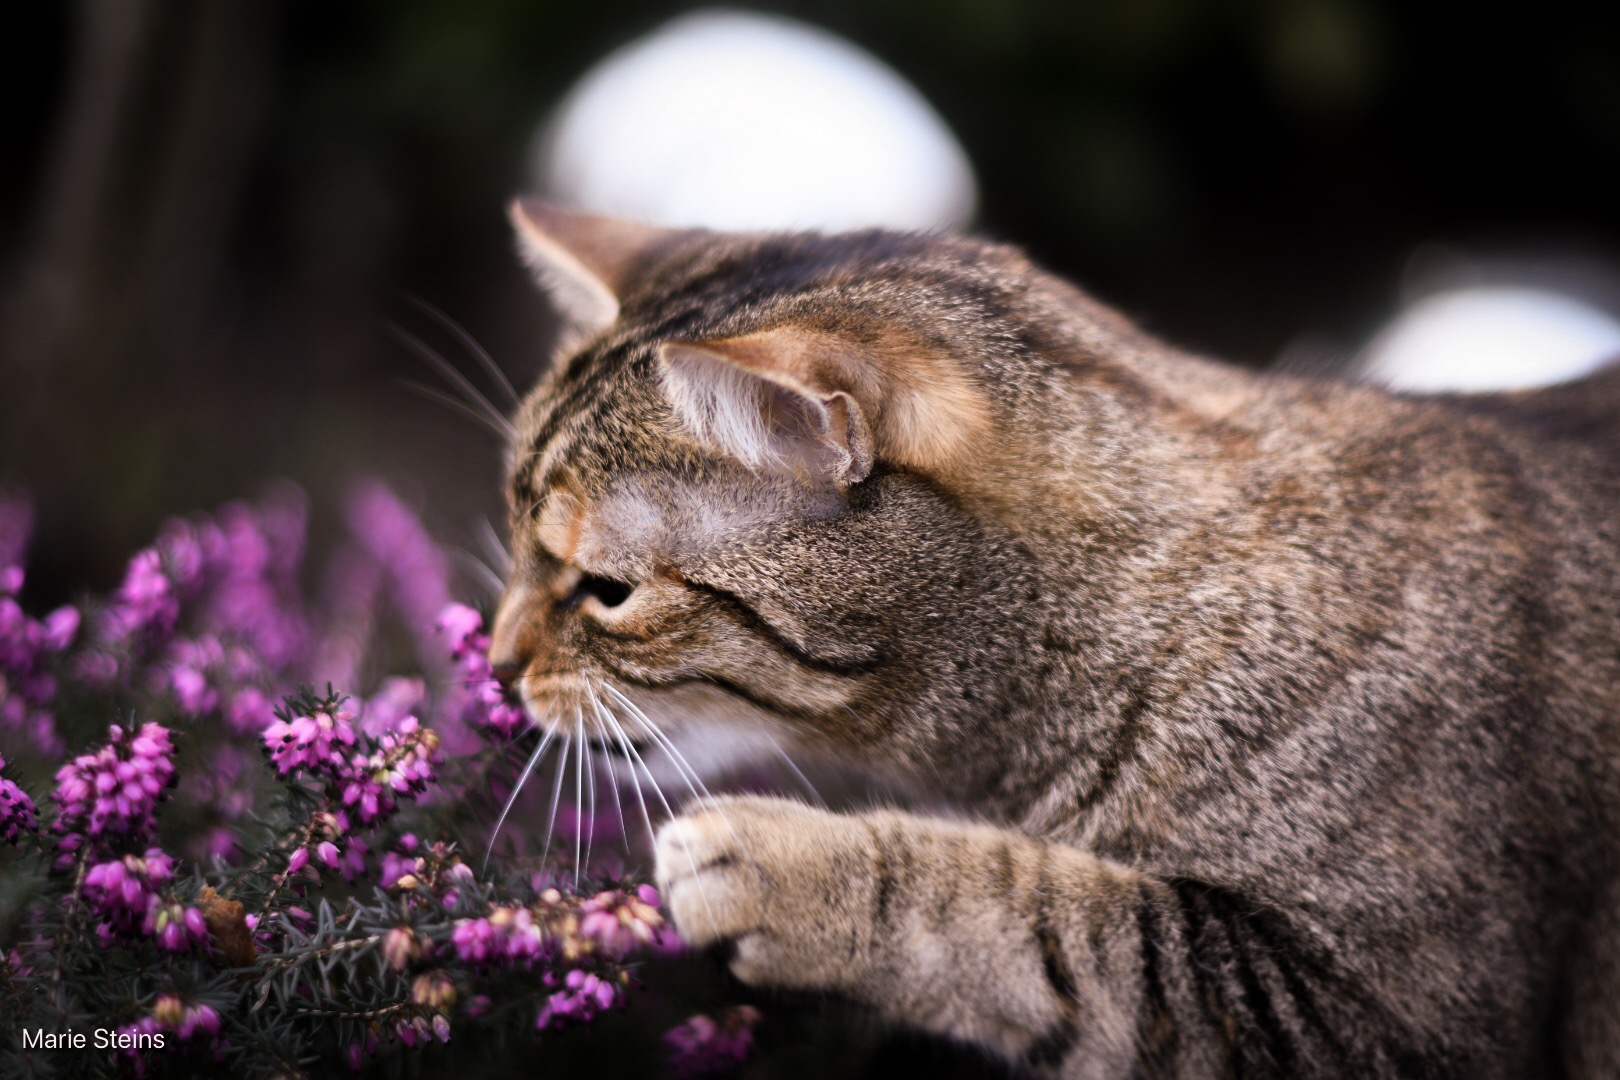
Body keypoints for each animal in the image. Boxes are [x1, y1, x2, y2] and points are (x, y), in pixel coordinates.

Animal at [482, 198, 1620, 1075]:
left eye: (605, 590)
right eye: (514, 536)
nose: (495, 666)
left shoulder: (1374, 1011)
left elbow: (1067, 929)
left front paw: (792, 865)